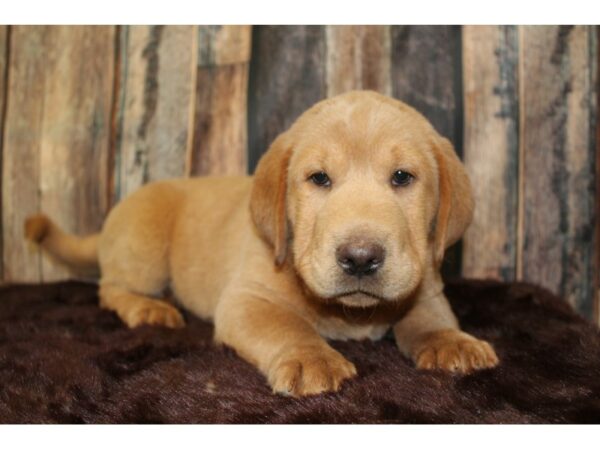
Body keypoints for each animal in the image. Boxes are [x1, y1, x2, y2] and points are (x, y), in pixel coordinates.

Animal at [24, 89, 496, 396]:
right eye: (318, 178)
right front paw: (312, 358)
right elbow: (286, 326)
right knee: (110, 288)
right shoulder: (247, 299)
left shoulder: (426, 282)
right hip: (144, 246)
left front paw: (451, 342)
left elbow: (430, 317)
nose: (360, 258)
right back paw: (149, 308)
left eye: (402, 177)